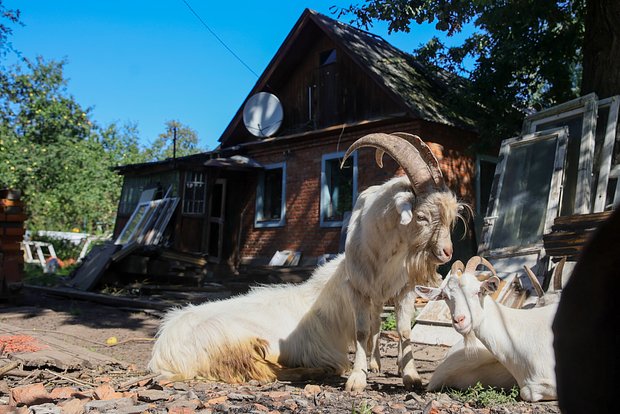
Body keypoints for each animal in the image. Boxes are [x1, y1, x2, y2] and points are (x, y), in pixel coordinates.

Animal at [150, 133, 464, 392]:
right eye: (421, 216)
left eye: (450, 218)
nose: (447, 254)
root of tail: (162, 352)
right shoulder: (357, 292)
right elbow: (362, 332)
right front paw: (356, 378)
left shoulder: (399, 290)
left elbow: (402, 330)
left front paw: (410, 376)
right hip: (234, 343)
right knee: (264, 369)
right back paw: (314, 371)